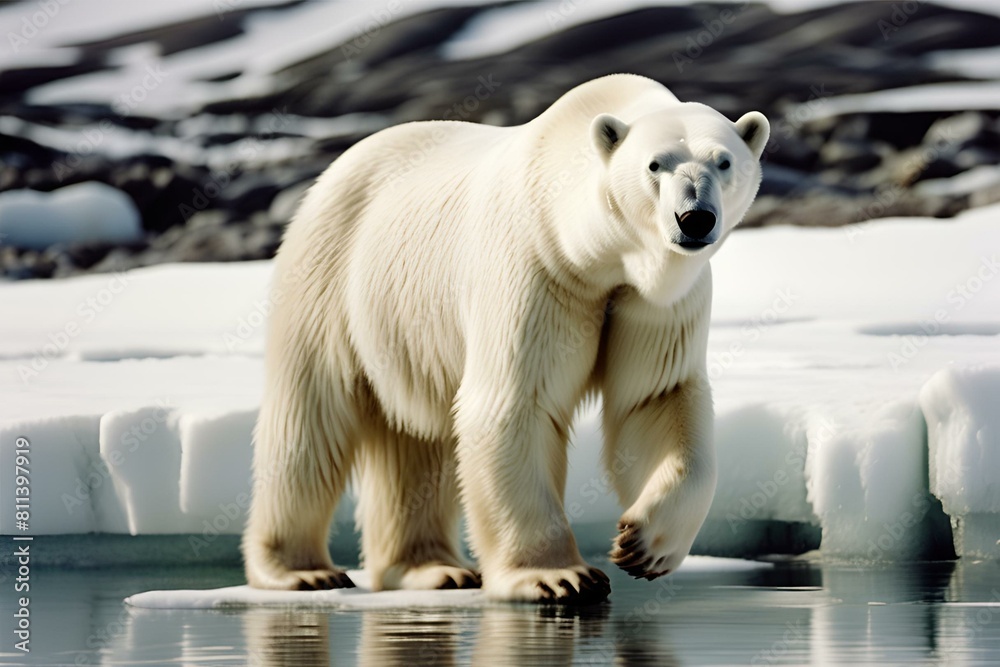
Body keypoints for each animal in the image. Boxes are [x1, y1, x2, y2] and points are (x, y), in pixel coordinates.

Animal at [242, 73, 769, 603]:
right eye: (655, 164)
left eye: (723, 161)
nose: (694, 218)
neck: (594, 250)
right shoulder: (537, 267)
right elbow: (516, 404)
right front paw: (559, 577)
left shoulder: (654, 299)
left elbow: (656, 399)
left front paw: (643, 545)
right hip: (329, 279)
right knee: (309, 423)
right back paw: (301, 571)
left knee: (418, 439)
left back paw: (434, 569)